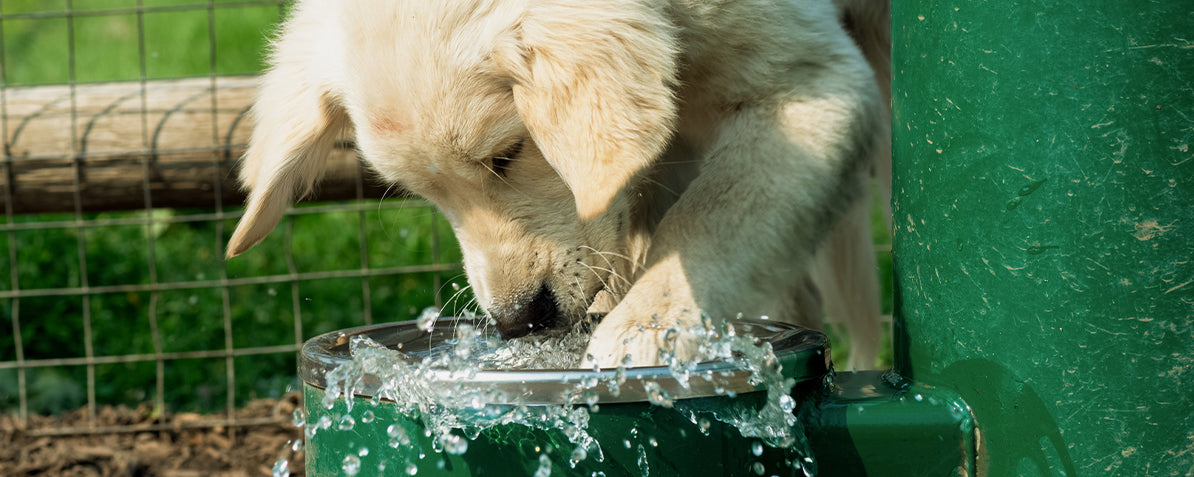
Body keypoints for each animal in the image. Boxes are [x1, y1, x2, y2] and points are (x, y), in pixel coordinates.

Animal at [228, 0, 893, 370]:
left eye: (507, 154)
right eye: (429, 197)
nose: (517, 322)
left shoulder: (813, 91)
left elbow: (711, 217)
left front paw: (647, 328)